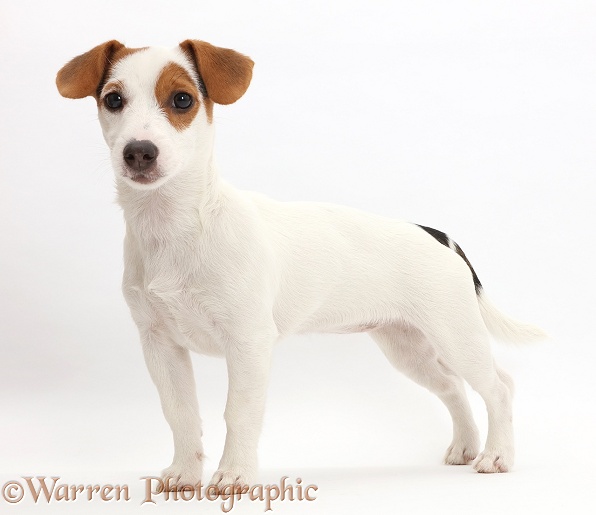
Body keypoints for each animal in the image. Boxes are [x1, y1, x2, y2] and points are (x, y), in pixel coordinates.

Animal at [56, 40, 544, 492]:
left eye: (181, 100)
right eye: (113, 99)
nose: (139, 151)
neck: (176, 226)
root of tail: (437, 234)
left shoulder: (248, 342)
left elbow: (240, 412)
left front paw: (234, 475)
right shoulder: (159, 344)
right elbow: (180, 413)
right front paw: (184, 474)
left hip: (456, 335)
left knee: (499, 386)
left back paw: (497, 455)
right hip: (409, 349)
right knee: (453, 387)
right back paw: (465, 446)